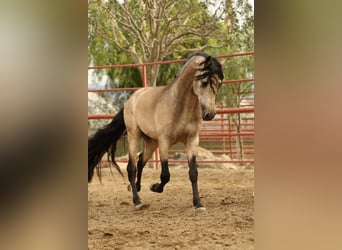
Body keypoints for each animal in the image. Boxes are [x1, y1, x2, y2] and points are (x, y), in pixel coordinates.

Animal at [87, 52, 224, 213]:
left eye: (219, 83)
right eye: (204, 82)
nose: (210, 114)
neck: (180, 106)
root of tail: (132, 99)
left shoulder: (192, 141)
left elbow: (193, 173)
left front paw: (199, 204)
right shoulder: (165, 141)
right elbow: (165, 175)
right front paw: (155, 187)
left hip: (152, 142)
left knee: (140, 161)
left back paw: (136, 187)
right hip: (134, 136)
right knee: (131, 167)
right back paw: (137, 201)